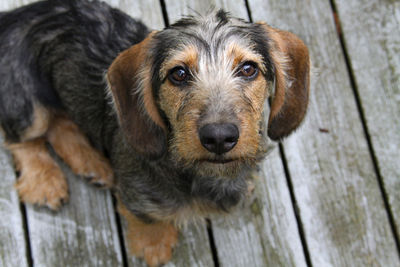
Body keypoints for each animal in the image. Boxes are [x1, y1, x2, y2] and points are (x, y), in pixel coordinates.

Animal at [0, 1, 310, 266]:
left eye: (248, 69)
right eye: (179, 74)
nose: (219, 137)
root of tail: (12, 16)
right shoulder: (139, 198)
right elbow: (150, 218)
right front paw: (154, 245)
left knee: (60, 125)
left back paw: (92, 165)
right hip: (28, 107)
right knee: (23, 138)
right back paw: (45, 181)